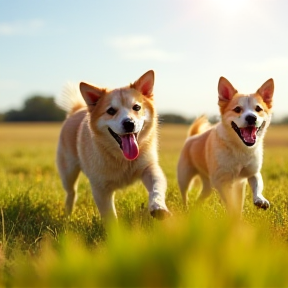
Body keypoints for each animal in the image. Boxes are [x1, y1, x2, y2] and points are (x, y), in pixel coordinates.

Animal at [55, 70, 170, 220]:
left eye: (137, 107)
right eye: (110, 111)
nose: (129, 123)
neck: (123, 159)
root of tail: (78, 109)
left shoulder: (149, 167)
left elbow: (156, 187)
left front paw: (158, 207)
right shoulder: (100, 188)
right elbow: (109, 215)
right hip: (68, 172)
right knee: (71, 192)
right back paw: (68, 215)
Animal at [177, 76, 274, 216]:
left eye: (258, 109)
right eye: (237, 109)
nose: (251, 117)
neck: (240, 148)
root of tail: (192, 138)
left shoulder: (251, 173)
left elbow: (257, 186)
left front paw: (260, 200)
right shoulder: (221, 181)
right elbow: (230, 202)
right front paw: (233, 214)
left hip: (208, 186)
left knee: (200, 198)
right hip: (184, 177)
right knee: (185, 195)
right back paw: (186, 209)